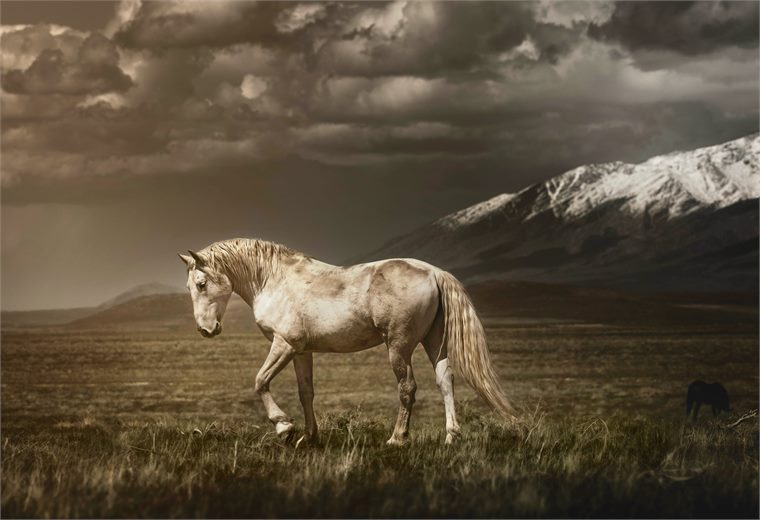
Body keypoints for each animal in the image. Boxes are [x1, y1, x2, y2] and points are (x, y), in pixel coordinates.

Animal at [178, 238, 516, 446]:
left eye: (202, 283)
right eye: (191, 286)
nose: (206, 330)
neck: (272, 280)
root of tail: (434, 273)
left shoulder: (283, 345)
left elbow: (260, 382)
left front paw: (284, 427)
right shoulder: (301, 352)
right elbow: (306, 393)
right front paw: (308, 438)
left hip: (399, 346)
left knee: (407, 388)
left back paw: (397, 438)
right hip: (435, 343)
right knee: (445, 381)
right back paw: (451, 436)